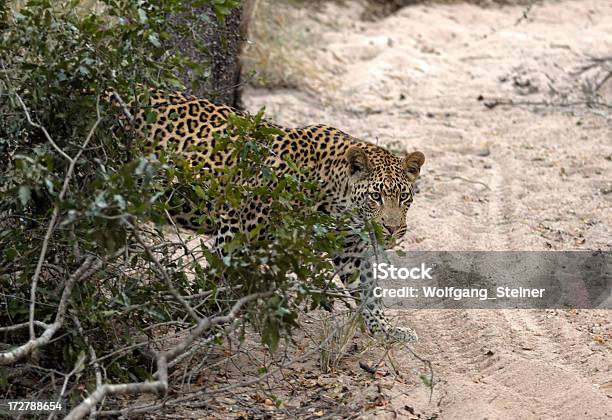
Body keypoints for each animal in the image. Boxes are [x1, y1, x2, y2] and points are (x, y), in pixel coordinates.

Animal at [119, 88, 426, 342]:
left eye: (403, 197)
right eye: (376, 197)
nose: (392, 229)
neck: (337, 196)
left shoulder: (349, 248)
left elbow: (369, 291)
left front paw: (387, 330)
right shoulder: (236, 226)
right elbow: (220, 276)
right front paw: (204, 321)